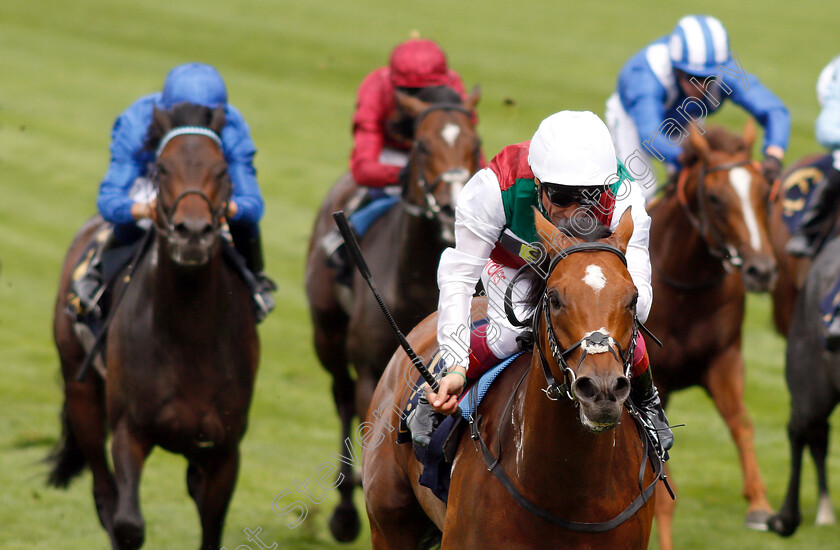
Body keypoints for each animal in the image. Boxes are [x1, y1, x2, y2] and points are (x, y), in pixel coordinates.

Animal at [48, 104, 258, 550]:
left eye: (222, 170)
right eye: (162, 168)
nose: (192, 233)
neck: (190, 337)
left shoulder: (224, 450)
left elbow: (211, 529)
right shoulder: (131, 429)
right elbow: (128, 522)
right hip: (81, 394)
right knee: (103, 494)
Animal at [306, 84, 480, 540]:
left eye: (475, 143)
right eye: (422, 143)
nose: (452, 207)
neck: (416, 283)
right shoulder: (371, 369)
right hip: (327, 335)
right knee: (342, 395)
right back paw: (344, 510)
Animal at [648, 122, 776, 550]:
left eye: (764, 191)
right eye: (716, 198)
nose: (761, 270)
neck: (684, 286)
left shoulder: (724, 358)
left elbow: (742, 423)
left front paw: (759, 504)